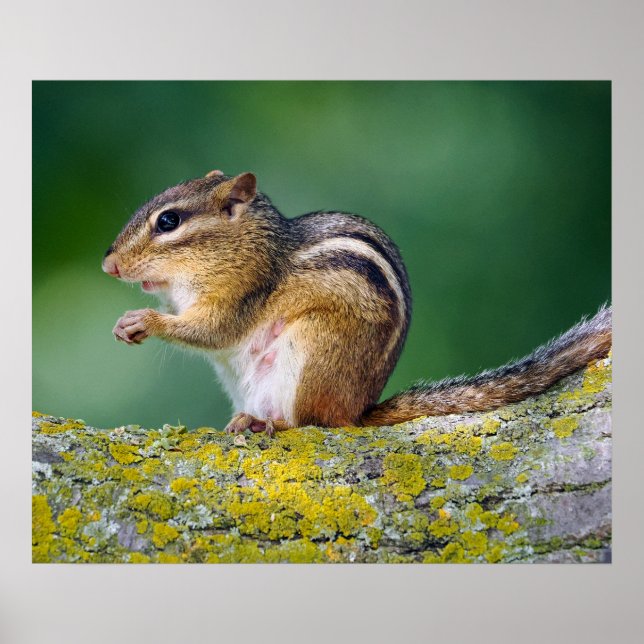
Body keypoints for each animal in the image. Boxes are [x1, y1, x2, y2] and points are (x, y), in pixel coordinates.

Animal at [102, 170, 612, 436]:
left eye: (168, 221)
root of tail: (359, 407)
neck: (248, 247)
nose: (109, 264)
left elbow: (211, 331)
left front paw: (143, 320)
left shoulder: (242, 292)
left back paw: (271, 424)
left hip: (314, 349)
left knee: (313, 423)